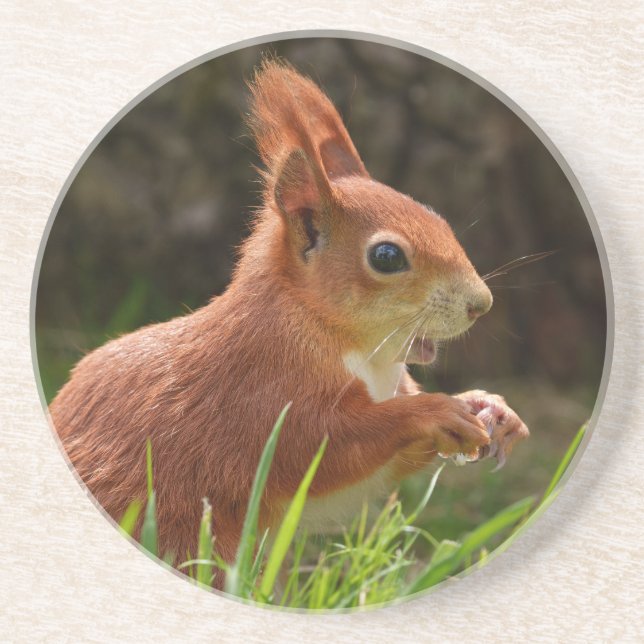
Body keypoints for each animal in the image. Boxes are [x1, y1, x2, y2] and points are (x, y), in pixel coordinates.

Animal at [49, 60, 529, 585]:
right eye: (386, 256)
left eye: (437, 216)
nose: (481, 304)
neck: (357, 348)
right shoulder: (263, 396)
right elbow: (322, 448)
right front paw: (435, 411)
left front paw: (492, 408)